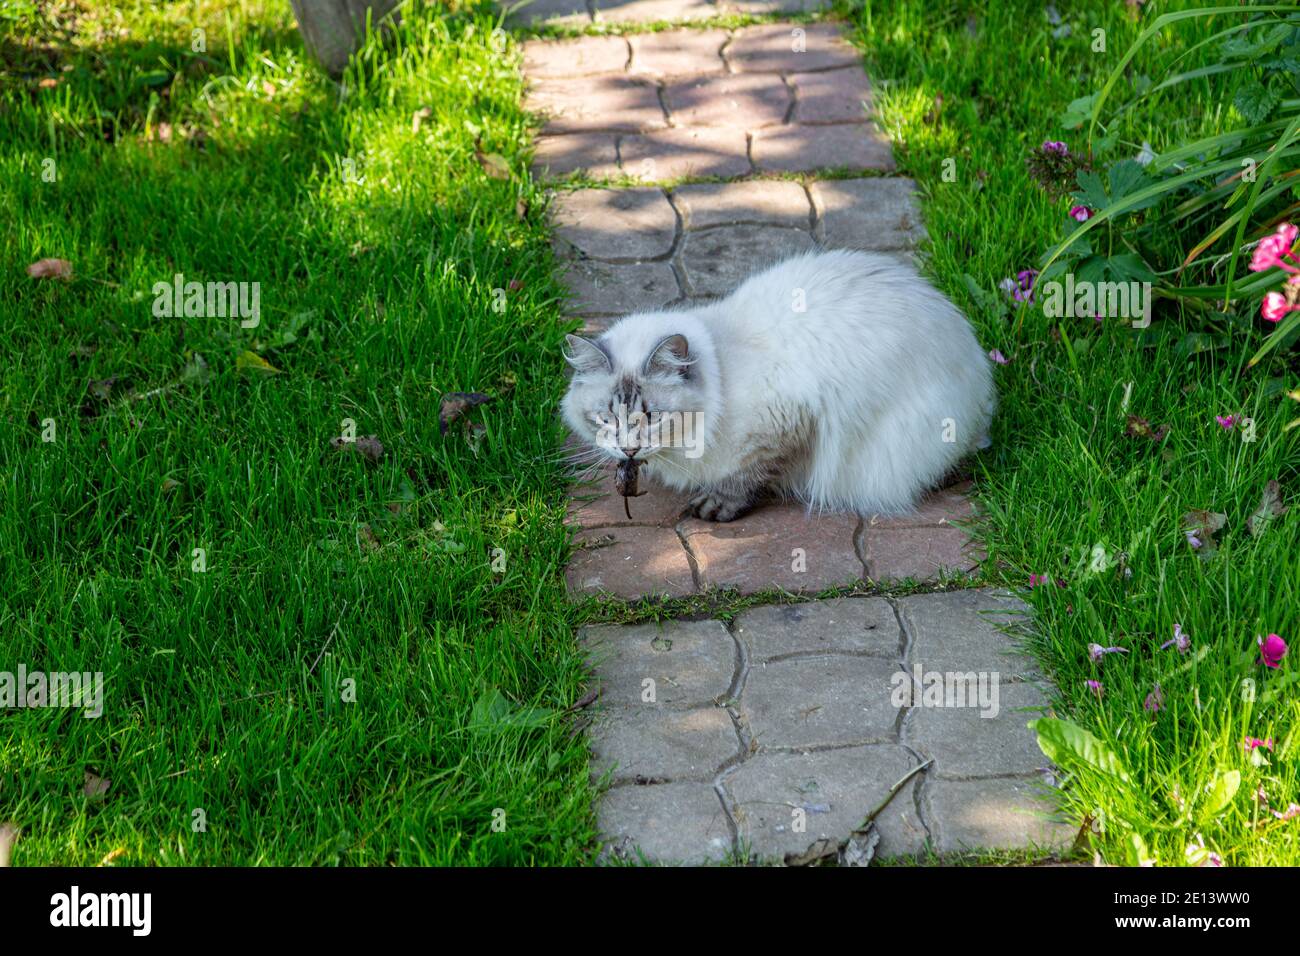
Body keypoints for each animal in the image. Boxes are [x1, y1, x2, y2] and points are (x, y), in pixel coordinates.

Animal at [559, 251, 993, 520]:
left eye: (652, 417)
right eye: (605, 419)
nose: (629, 449)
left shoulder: (788, 421)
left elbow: (748, 474)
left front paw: (717, 505)